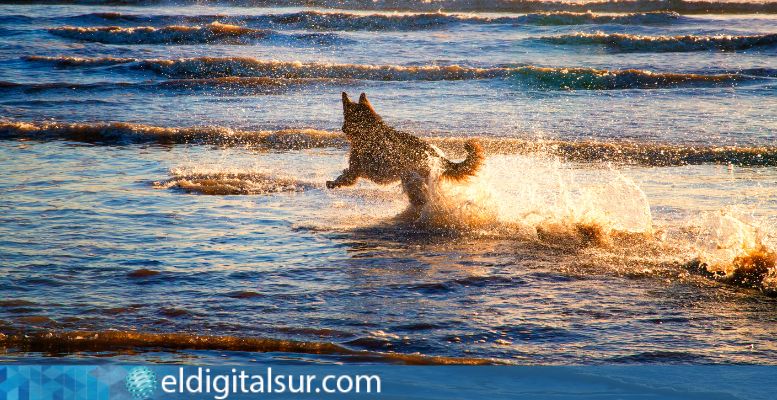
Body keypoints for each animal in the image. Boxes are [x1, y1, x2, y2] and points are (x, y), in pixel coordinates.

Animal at [326, 93, 482, 206]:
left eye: (345, 116)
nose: (342, 129)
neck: (368, 130)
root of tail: (437, 155)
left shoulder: (355, 170)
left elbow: (343, 178)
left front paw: (332, 183)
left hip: (410, 178)